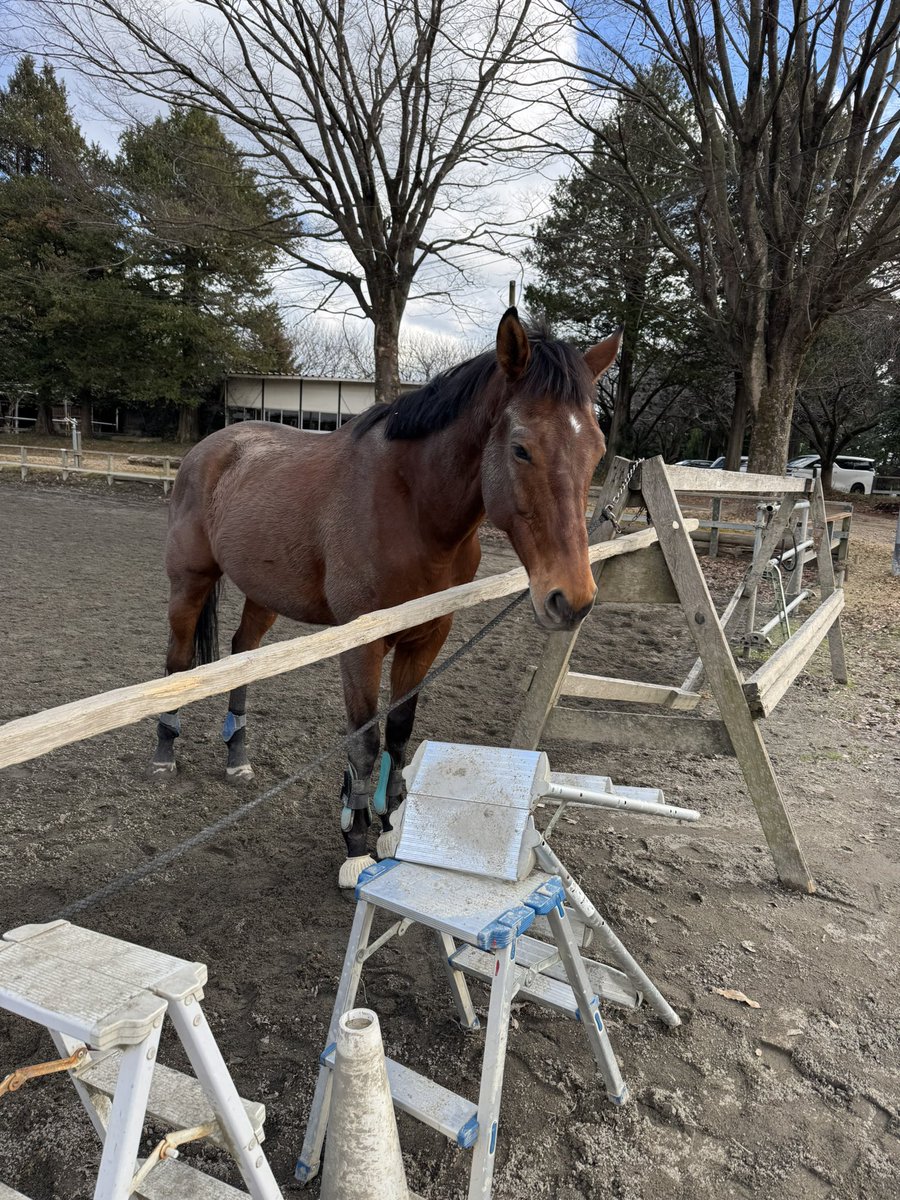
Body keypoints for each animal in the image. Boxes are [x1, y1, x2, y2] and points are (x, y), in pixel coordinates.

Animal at [151, 308, 621, 887]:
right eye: (521, 448)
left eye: (596, 451)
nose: (571, 599)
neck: (411, 507)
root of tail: (211, 446)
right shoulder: (362, 643)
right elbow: (364, 739)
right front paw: (355, 841)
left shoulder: (427, 636)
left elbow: (399, 731)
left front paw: (391, 818)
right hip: (189, 581)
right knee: (176, 660)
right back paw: (164, 751)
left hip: (264, 594)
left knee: (242, 655)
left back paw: (237, 755)